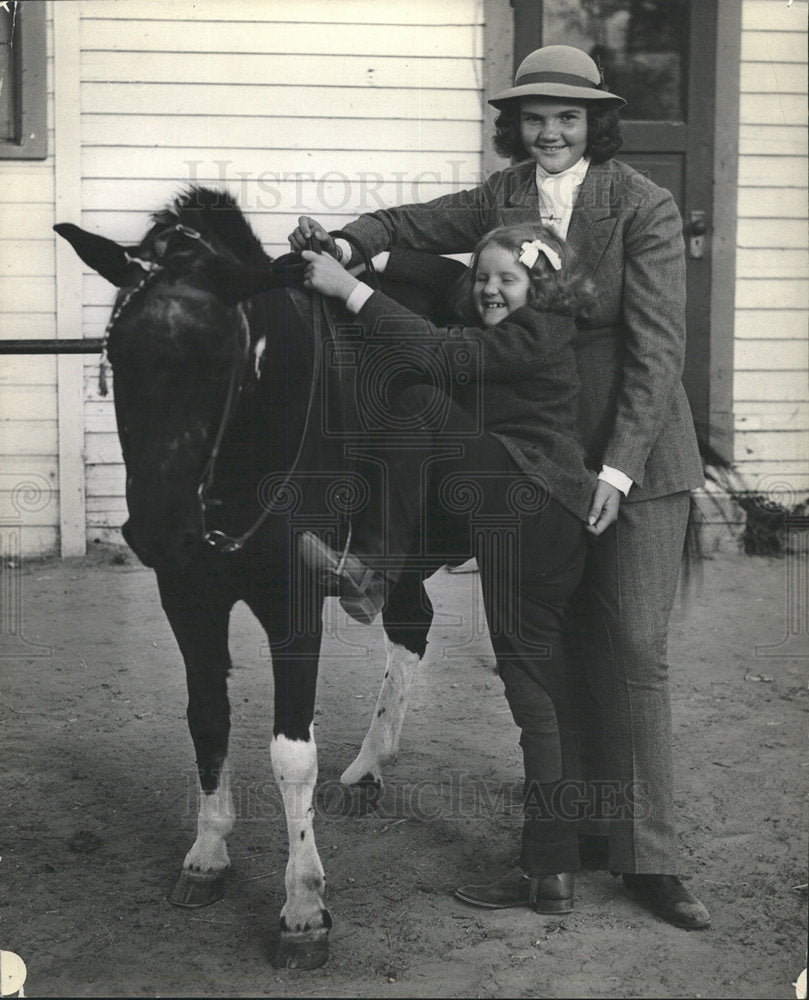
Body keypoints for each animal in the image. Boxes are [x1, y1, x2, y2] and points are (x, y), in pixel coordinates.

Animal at [52, 188, 442, 968]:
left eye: (222, 360)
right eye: (117, 355)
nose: (156, 529)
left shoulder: (292, 602)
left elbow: (291, 753)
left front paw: (303, 907)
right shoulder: (187, 592)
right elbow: (208, 718)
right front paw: (207, 853)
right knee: (410, 624)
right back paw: (369, 766)